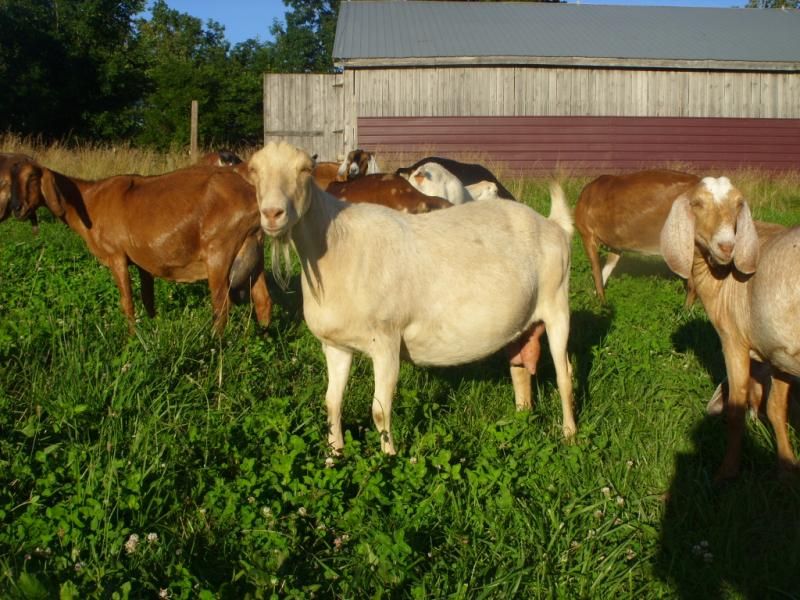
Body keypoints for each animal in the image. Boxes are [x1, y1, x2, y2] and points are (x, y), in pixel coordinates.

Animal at [11, 161, 272, 335]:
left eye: (32, 178)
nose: (17, 209)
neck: (89, 200)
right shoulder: (143, 260)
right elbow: (148, 298)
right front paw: (153, 329)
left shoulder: (116, 255)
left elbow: (127, 301)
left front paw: (132, 339)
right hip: (253, 251)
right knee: (262, 299)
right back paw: (265, 338)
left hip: (220, 250)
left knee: (222, 305)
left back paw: (216, 345)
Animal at [246, 141, 576, 454]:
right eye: (254, 171)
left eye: (304, 170)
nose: (272, 214)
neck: (338, 243)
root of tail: (553, 225)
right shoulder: (335, 345)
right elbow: (331, 403)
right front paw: (333, 457)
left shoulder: (387, 341)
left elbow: (380, 410)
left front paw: (388, 459)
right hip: (522, 322)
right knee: (519, 369)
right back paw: (521, 419)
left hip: (557, 305)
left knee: (565, 374)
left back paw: (570, 435)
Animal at [575, 170, 700, 305]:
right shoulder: (616, 245)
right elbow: (605, 272)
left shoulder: (587, 234)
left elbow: (597, 275)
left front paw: (600, 306)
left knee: (693, 285)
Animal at [660, 177, 800, 480]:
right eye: (697, 203)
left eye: (738, 204)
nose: (727, 246)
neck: (722, 281)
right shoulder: (777, 353)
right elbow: (776, 408)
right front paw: (786, 466)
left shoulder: (733, 341)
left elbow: (736, 411)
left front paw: (727, 471)